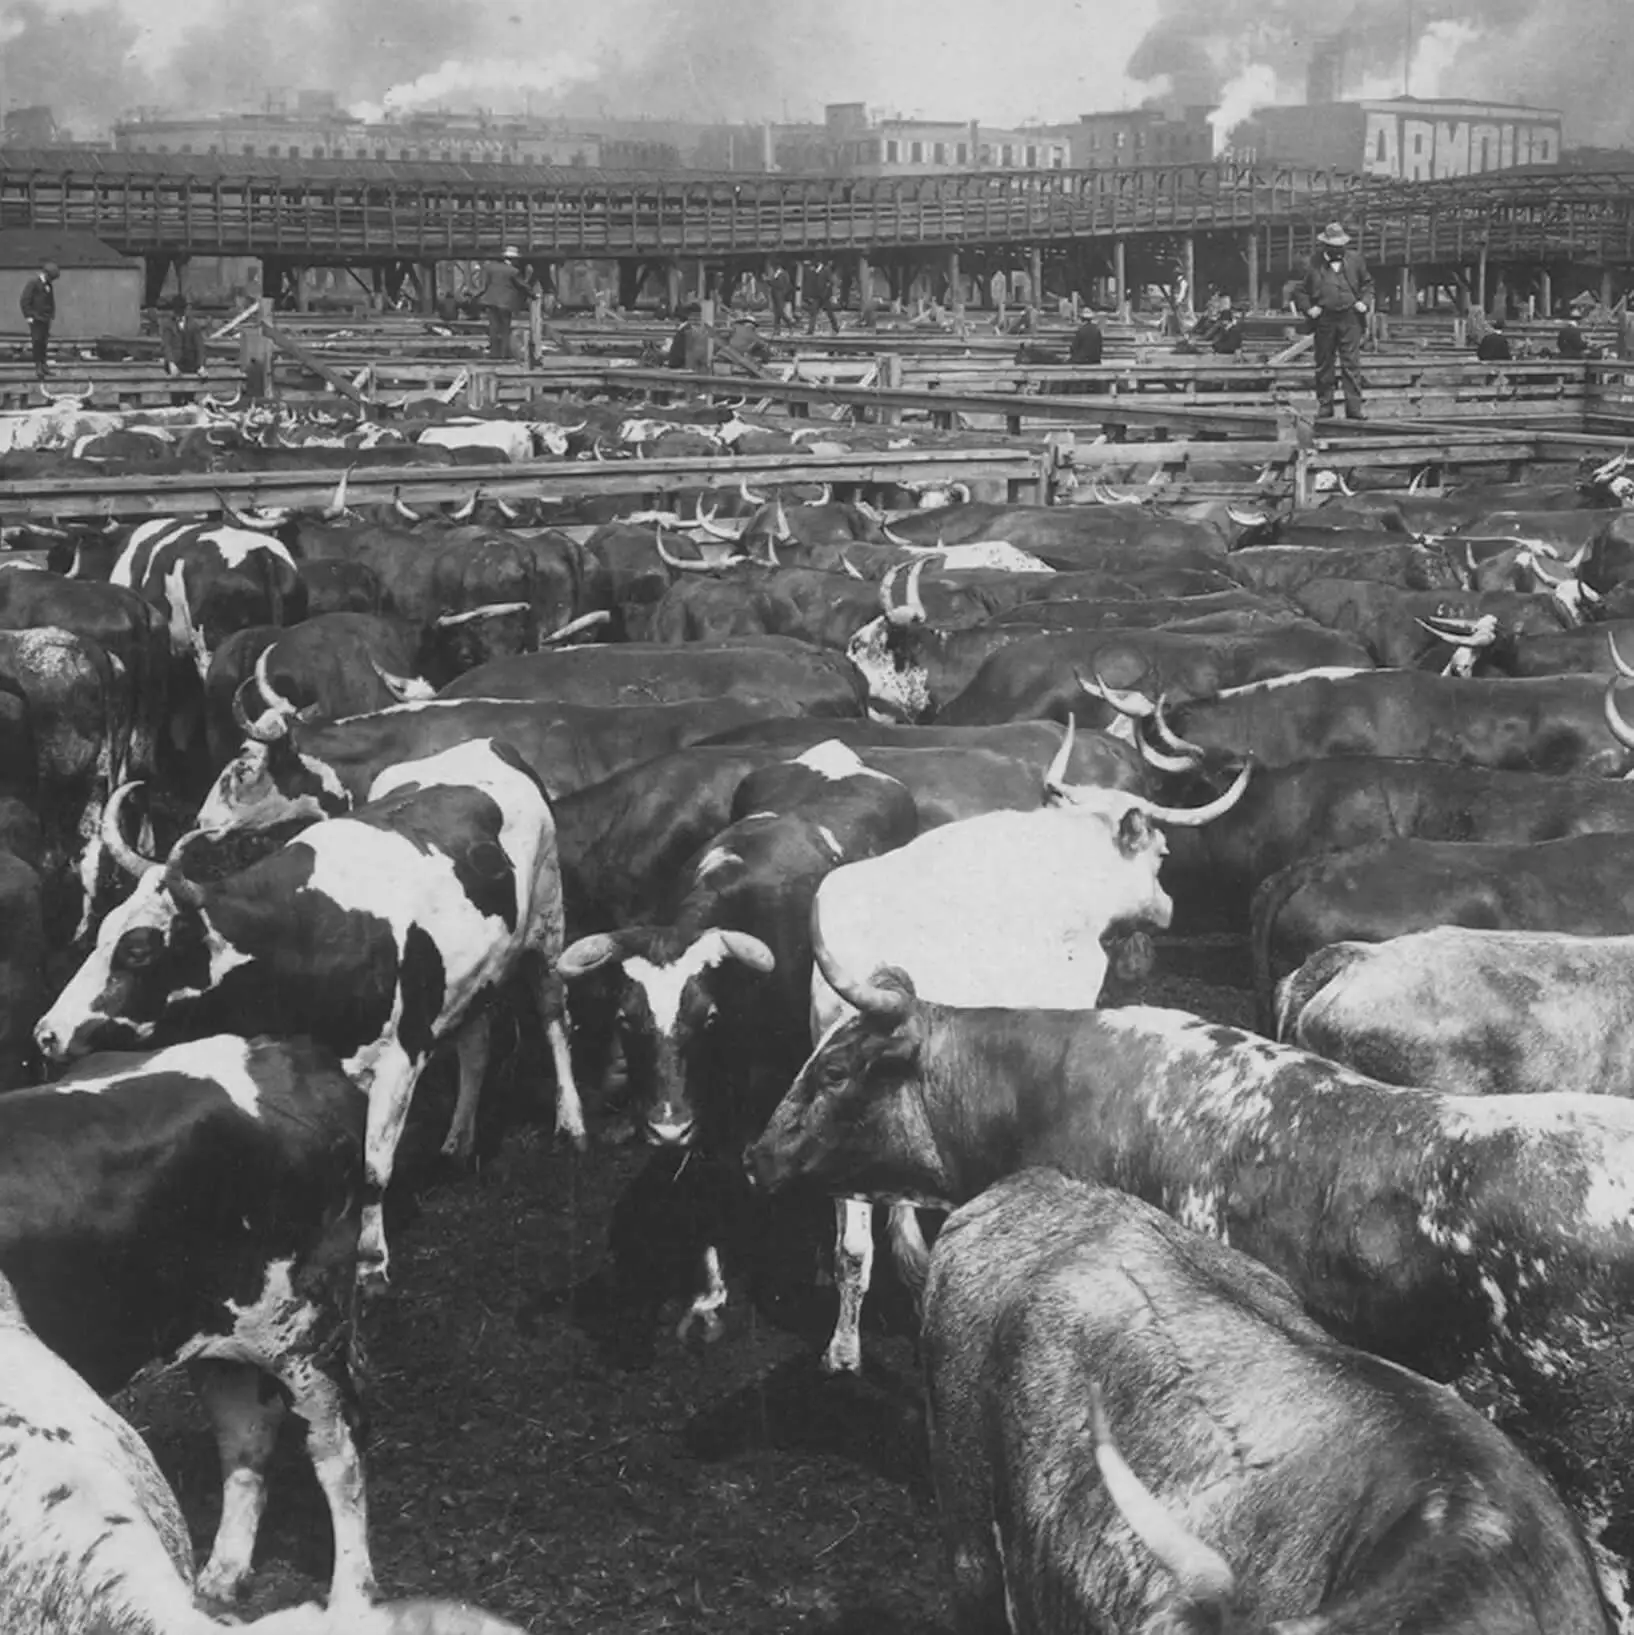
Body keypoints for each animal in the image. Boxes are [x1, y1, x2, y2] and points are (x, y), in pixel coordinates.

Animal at [0, 1039, 374, 1602]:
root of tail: (295, 1053)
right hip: (227, 1337)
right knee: (246, 1433)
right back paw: (224, 1572)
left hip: (307, 1333)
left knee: (339, 1454)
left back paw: (353, 1592)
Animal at [35, 742, 585, 1288]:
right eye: (102, 932)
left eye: (138, 951)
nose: (46, 1034)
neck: (303, 936)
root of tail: (488, 744)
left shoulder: (401, 1055)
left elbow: (373, 1168)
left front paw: (371, 1262)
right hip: (472, 975)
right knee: (476, 1043)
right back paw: (456, 1145)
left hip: (548, 927)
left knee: (553, 1019)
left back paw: (571, 1124)